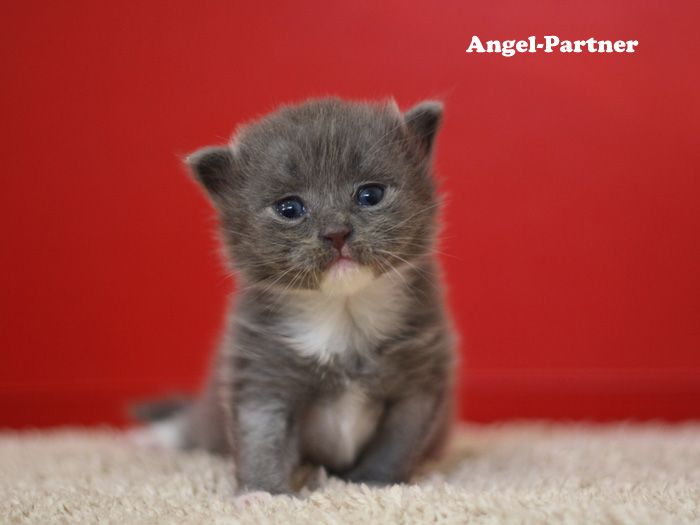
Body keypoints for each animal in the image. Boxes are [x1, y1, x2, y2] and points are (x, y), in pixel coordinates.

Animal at [147, 97, 456, 496]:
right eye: (290, 208)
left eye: (369, 195)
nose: (336, 232)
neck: (342, 311)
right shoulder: (262, 368)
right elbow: (261, 435)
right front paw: (262, 493)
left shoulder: (419, 378)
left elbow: (397, 441)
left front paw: (374, 482)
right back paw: (158, 438)